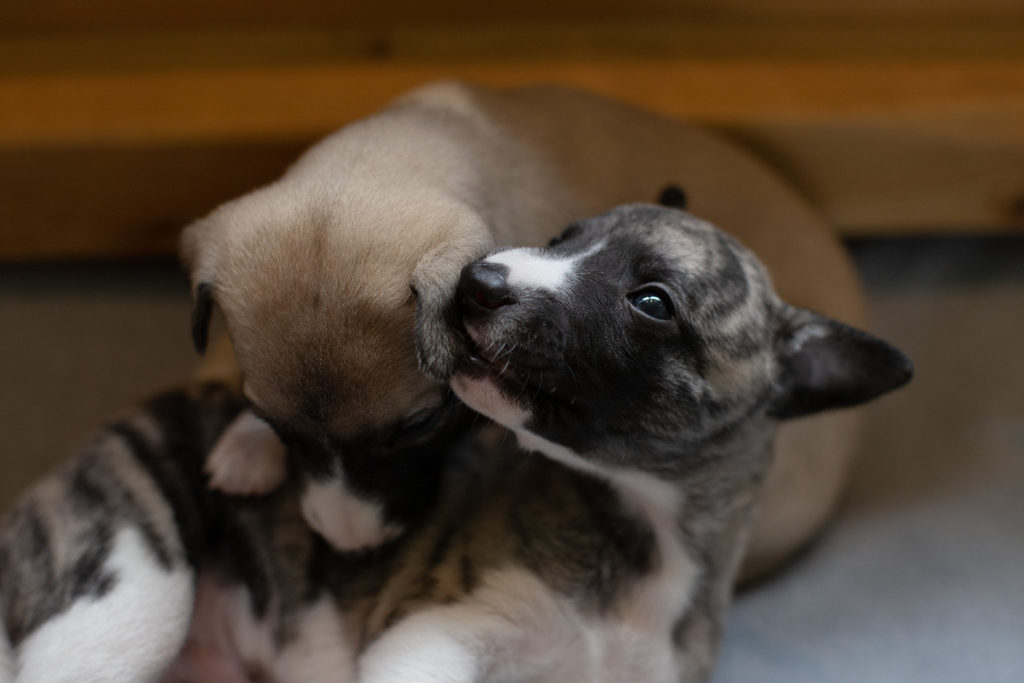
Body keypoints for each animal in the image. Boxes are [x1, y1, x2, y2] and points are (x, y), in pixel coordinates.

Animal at [0, 205, 913, 679]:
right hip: (128, 596)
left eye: (652, 300)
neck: (647, 547)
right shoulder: (430, 640)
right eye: (564, 234)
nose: (476, 282)